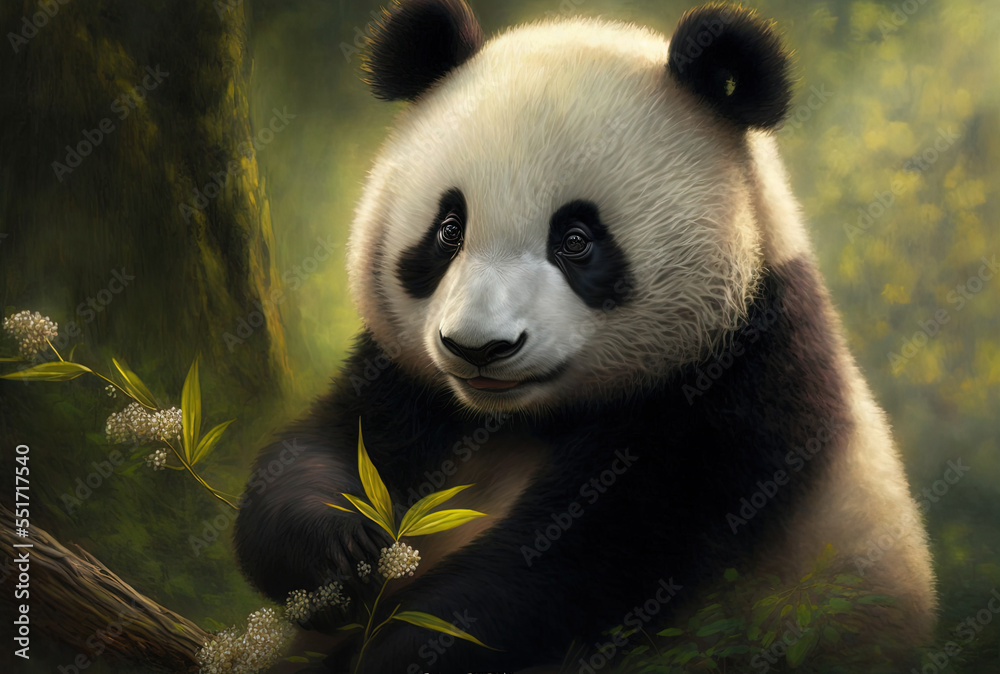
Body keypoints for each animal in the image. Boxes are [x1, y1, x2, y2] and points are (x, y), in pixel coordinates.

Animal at [234, 1, 936, 672]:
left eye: (576, 240)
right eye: (448, 229)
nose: (480, 348)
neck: (525, 418)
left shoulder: (744, 391)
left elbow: (575, 568)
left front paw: (394, 645)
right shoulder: (412, 385)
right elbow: (330, 445)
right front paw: (338, 556)